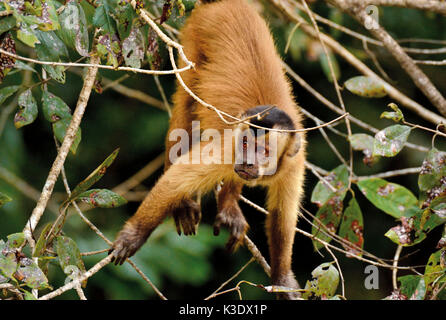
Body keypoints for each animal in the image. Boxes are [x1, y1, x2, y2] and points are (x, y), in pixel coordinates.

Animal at [111, 0, 306, 298]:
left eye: (264, 151)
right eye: (246, 144)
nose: (248, 162)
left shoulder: (294, 162)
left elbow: (282, 218)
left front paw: (282, 277)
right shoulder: (229, 149)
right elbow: (177, 179)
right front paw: (134, 234)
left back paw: (228, 204)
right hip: (196, 32)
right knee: (186, 106)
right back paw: (184, 204)